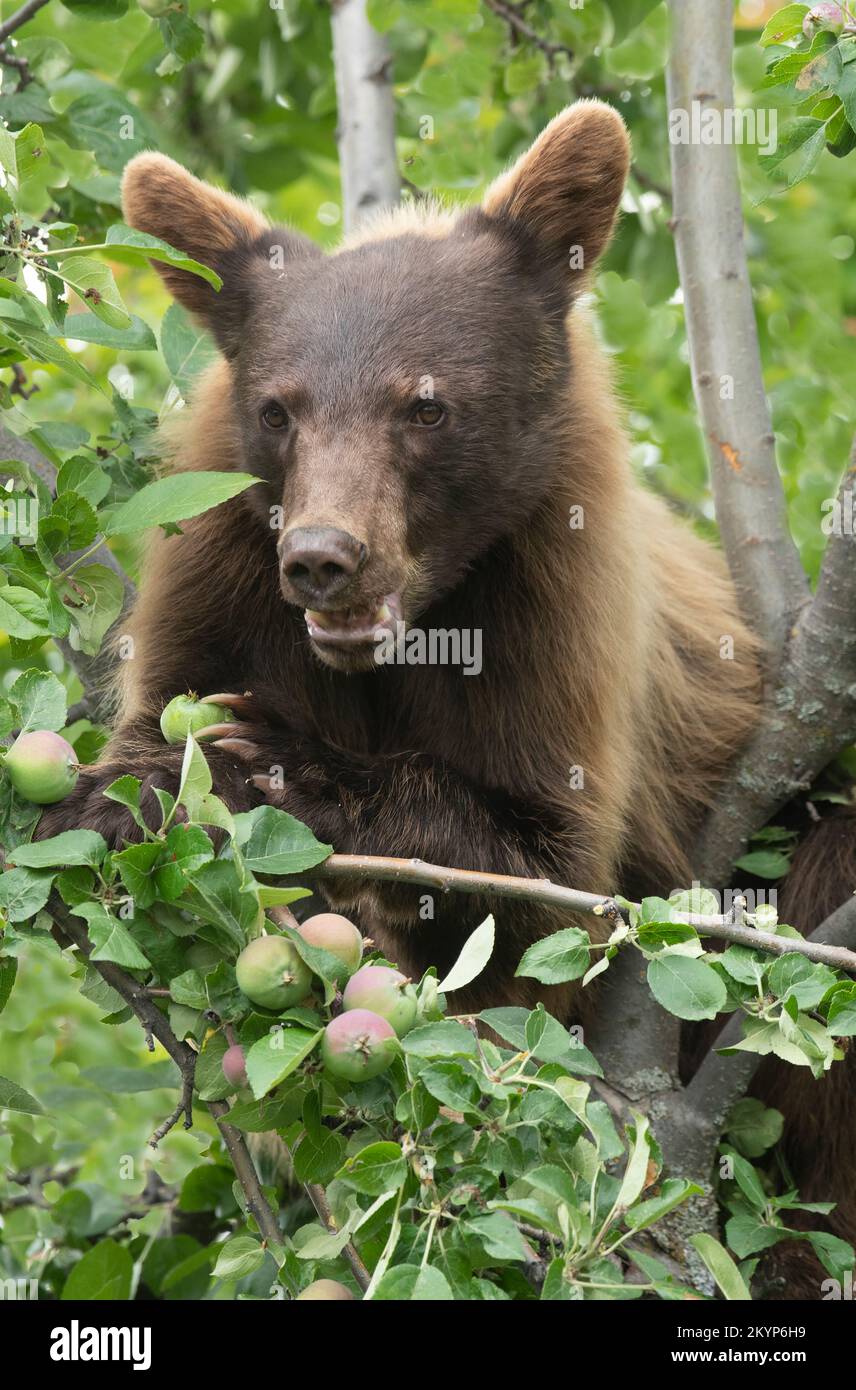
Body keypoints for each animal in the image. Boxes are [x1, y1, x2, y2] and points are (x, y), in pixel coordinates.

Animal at [38, 102, 850, 1284]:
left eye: (424, 405)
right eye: (278, 410)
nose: (322, 559)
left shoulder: (559, 610)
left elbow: (551, 883)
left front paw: (279, 768)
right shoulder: (217, 573)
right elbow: (167, 733)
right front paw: (117, 791)